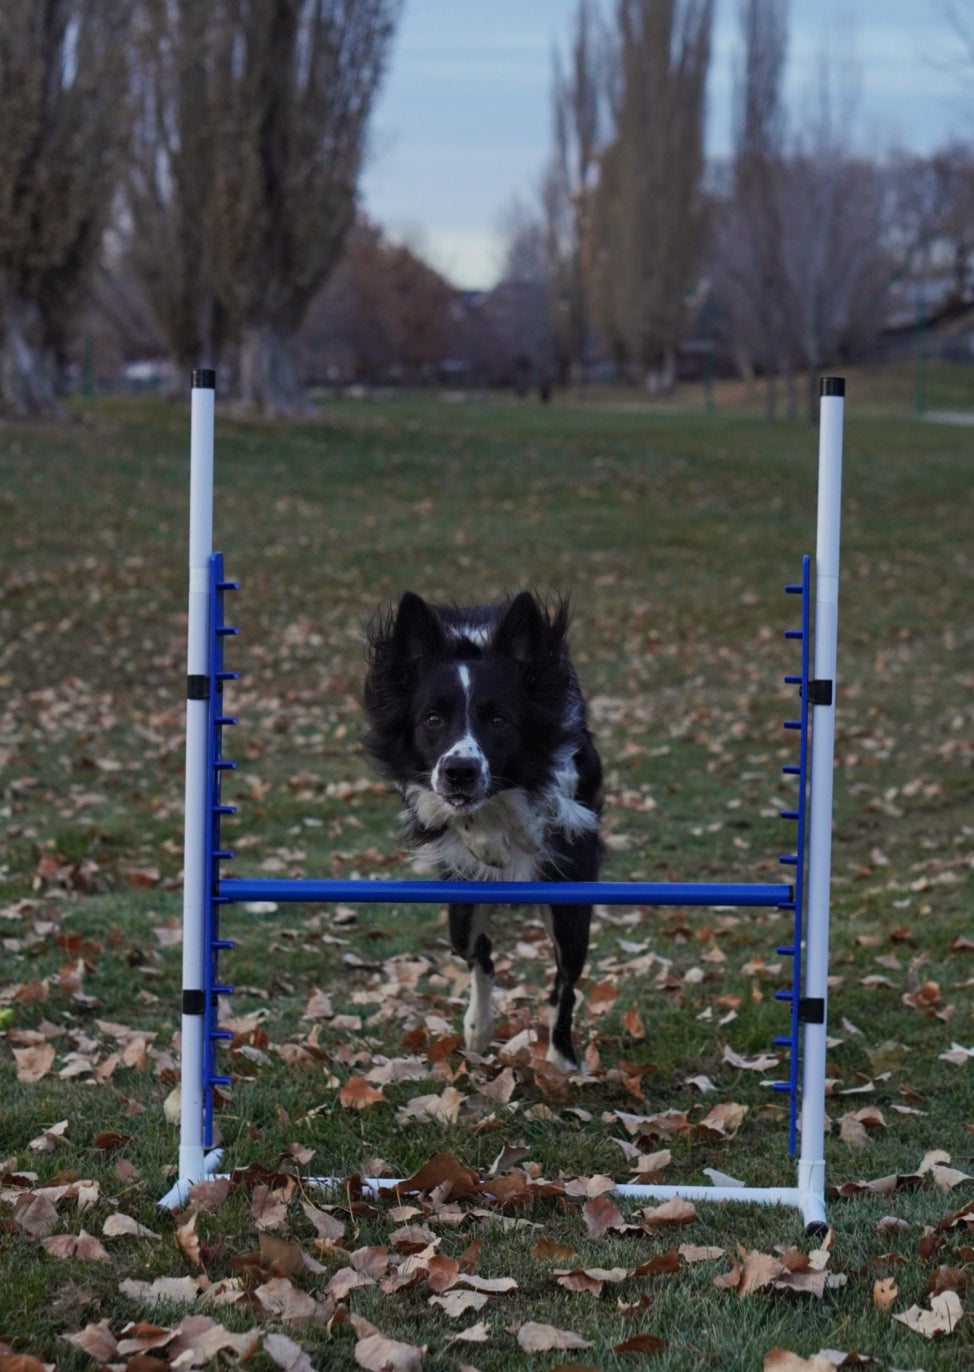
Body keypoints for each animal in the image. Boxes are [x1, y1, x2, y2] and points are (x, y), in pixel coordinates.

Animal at [362, 589, 603, 1070]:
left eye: (499, 720)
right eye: (432, 719)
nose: (460, 772)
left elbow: (546, 802)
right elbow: (449, 813)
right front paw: (483, 840)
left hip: (570, 910)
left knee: (564, 982)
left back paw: (561, 1058)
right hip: (462, 911)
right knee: (482, 953)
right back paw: (478, 1030)